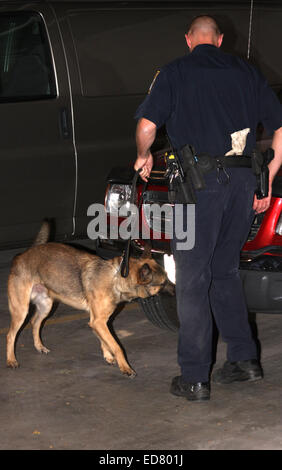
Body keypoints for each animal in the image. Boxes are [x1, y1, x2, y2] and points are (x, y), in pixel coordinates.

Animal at [6, 221, 174, 378]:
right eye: (163, 282)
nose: (176, 290)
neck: (116, 277)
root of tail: (23, 254)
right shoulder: (98, 321)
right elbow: (116, 345)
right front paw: (125, 367)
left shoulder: (100, 321)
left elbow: (105, 341)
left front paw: (108, 357)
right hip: (21, 310)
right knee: (10, 335)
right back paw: (11, 360)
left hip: (46, 305)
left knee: (35, 322)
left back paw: (39, 347)